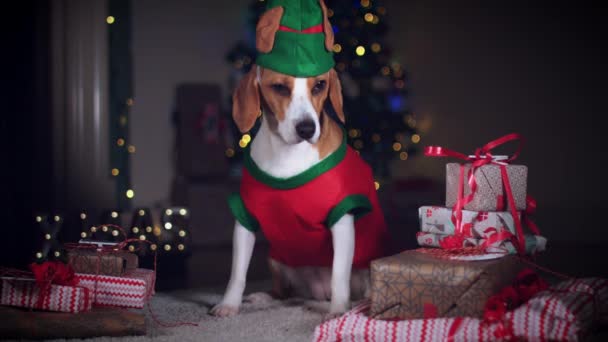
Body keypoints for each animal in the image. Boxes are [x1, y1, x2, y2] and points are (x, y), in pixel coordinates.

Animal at [209, 0, 390, 320]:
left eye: (319, 86)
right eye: (280, 87)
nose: (307, 129)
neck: (288, 154)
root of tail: (317, 292)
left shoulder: (342, 220)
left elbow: (339, 274)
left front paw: (338, 310)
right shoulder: (245, 219)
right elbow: (237, 273)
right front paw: (229, 304)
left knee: (357, 290)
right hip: (278, 258)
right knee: (283, 293)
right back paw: (265, 298)